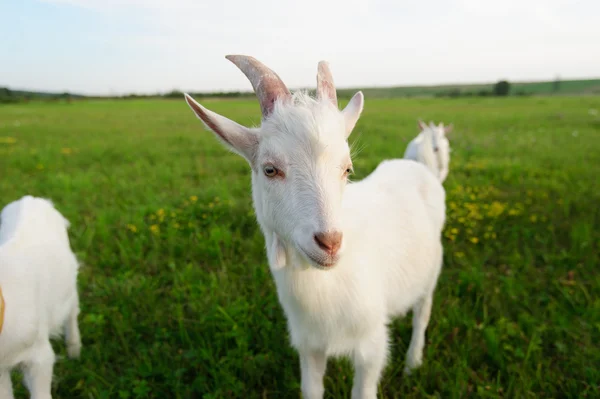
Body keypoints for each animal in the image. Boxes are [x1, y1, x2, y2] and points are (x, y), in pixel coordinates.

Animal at [183, 56, 446, 399]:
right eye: (270, 169)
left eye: (347, 169)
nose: (330, 242)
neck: (322, 283)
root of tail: (421, 167)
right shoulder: (309, 345)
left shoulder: (371, 346)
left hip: (431, 271)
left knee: (422, 315)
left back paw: (413, 363)